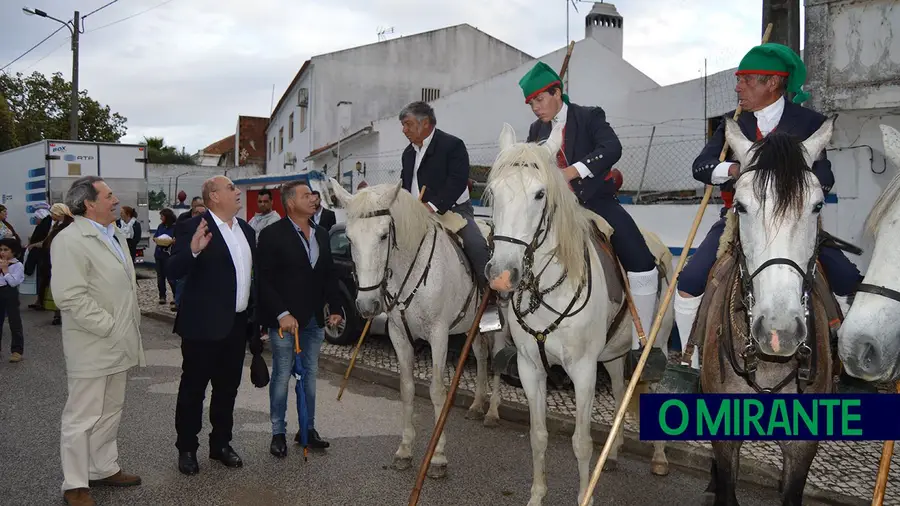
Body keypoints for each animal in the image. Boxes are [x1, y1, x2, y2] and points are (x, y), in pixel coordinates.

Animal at [328, 178, 506, 478]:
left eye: (383, 236)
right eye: (349, 239)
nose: (367, 305)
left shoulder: (438, 335)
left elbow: (437, 391)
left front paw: (438, 457)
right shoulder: (398, 335)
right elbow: (407, 388)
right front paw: (405, 450)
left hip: (502, 328)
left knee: (497, 363)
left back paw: (492, 412)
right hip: (473, 326)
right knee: (482, 357)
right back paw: (477, 405)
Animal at [482, 122, 672, 506]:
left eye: (540, 194)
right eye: (493, 193)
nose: (501, 275)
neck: (546, 290)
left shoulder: (583, 371)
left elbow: (581, 443)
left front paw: (585, 493)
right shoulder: (530, 367)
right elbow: (538, 435)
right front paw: (537, 496)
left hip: (655, 347)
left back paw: (659, 457)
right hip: (612, 356)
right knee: (620, 391)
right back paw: (613, 454)